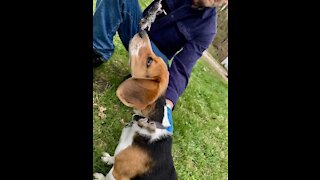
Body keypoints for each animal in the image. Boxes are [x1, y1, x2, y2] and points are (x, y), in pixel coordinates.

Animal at [94, 30, 176, 180]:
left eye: (149, 61)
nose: (142, 32)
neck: (146, 122)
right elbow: (115, 157)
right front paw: (109, 158)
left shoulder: (118, 174)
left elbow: (108, 175)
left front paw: (100, 176)